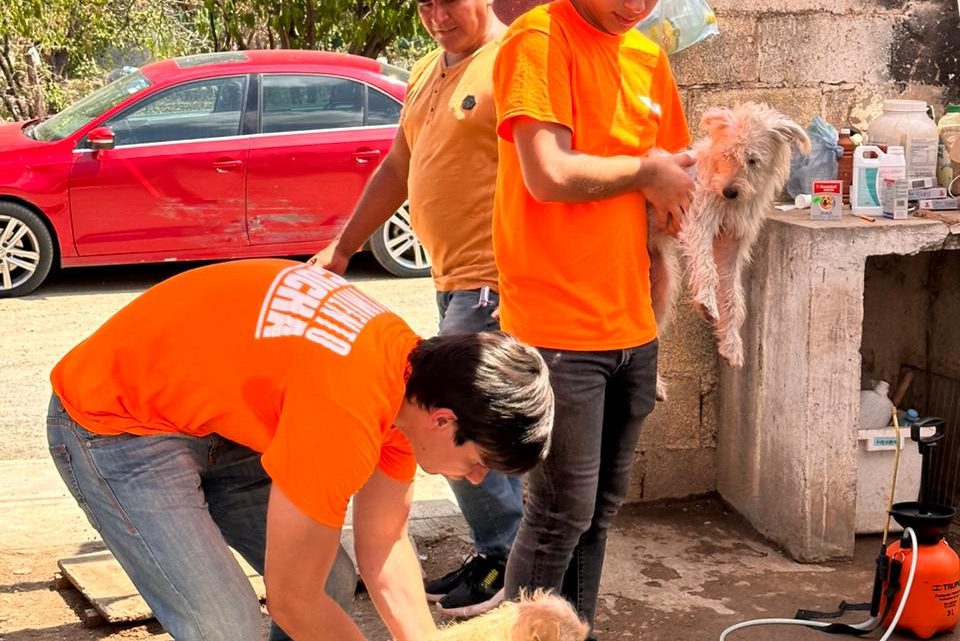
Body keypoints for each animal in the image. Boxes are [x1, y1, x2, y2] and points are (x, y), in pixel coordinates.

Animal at [644, 102, 808, 382]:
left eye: (752, 160)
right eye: (726, 154)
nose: (729, 191)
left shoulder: (731, 245)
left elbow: (733, 297)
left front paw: (731, 345)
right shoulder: (698, 224)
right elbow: (707, 268)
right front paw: (706, 303)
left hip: (661, 285)